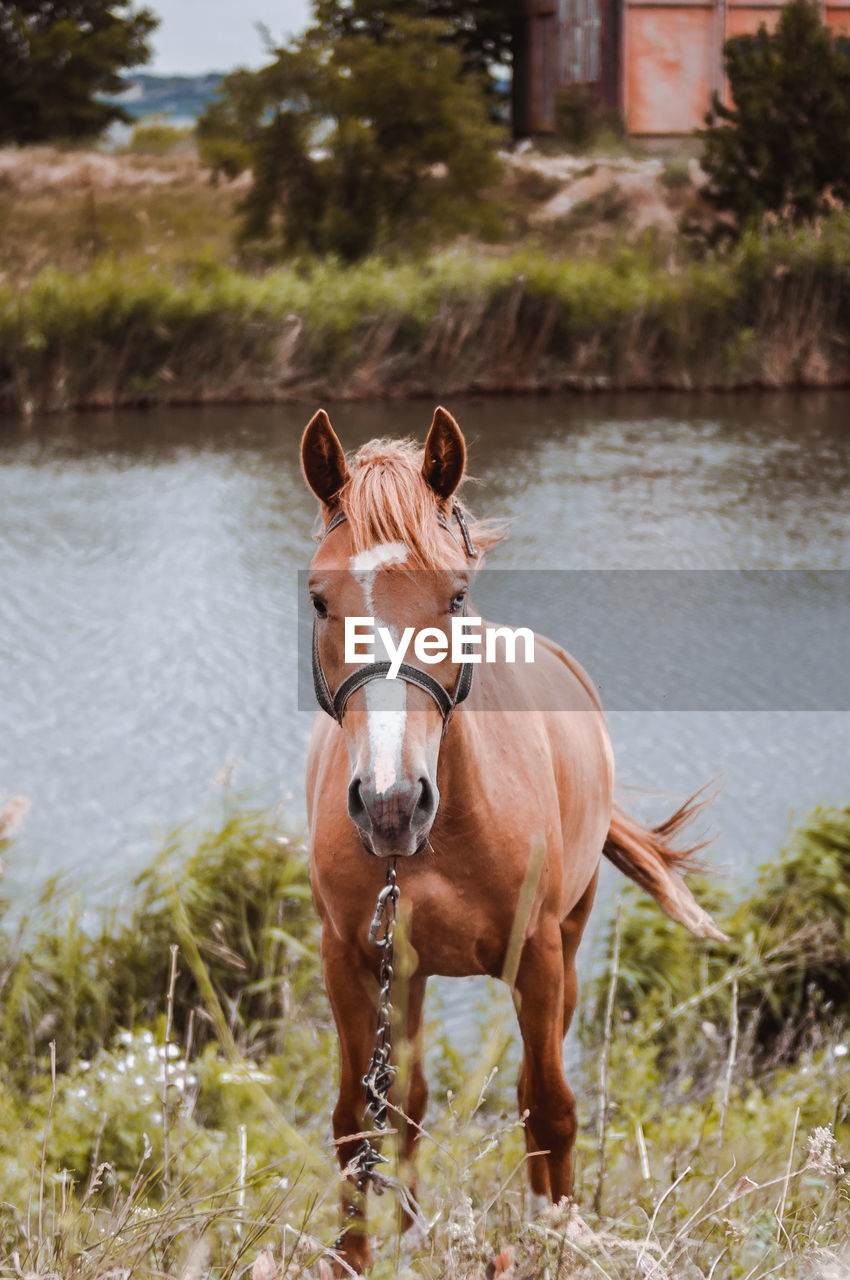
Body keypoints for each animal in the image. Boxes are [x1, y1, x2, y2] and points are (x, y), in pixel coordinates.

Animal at [300, 404, 721, 1274]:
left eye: (455, 593)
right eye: (321, 600)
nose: (391, 804)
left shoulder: (539, 954)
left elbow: (549, 1106)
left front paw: (560, 1235)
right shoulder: (349, 958)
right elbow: (359, 1121)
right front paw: (363, 1253)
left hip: (568, 939)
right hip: (408, 974)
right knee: (409, 1101)